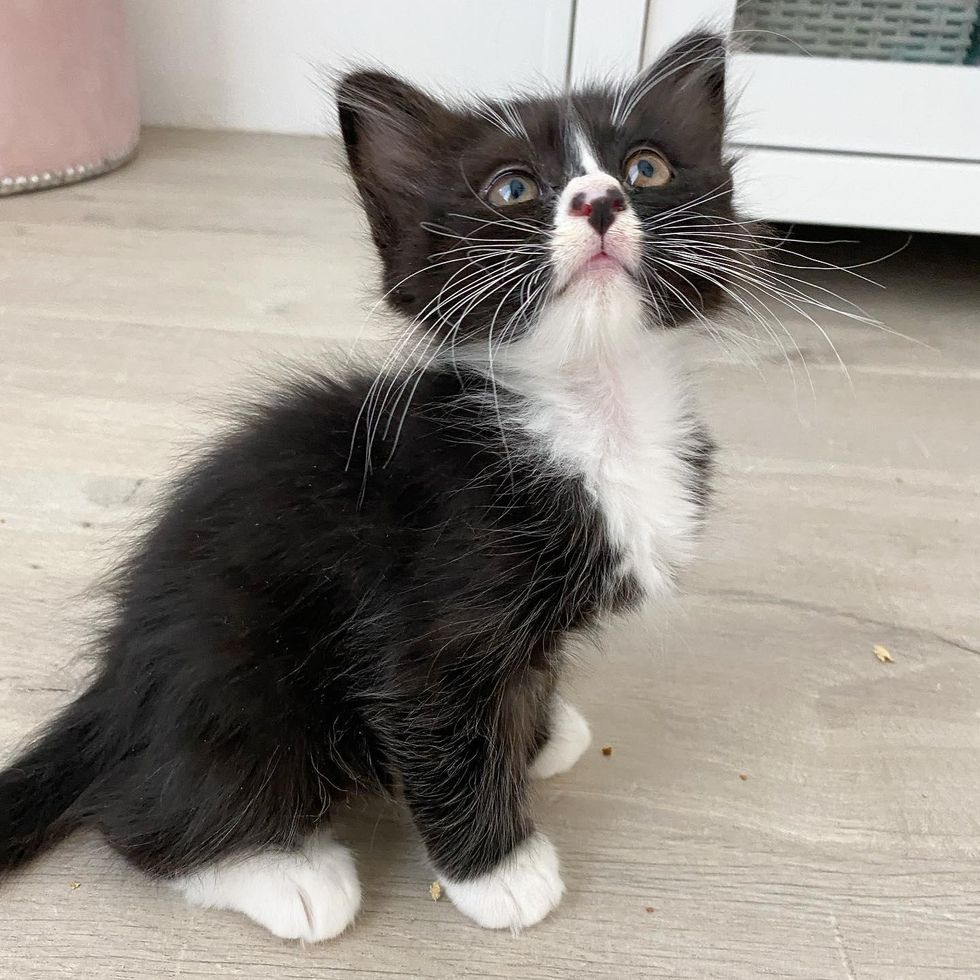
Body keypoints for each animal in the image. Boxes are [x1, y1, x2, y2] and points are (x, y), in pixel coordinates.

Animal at [1, 34, 752, 940]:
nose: (601, 201)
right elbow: (441, 731)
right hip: (240, 681)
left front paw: (539, 735)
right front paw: (500, 871)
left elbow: (523, 679)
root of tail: (114, 686)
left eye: (646, 168)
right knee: (136, 818)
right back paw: (288, 874)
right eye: (512, 188)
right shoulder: (426, 624)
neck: (593, 406)